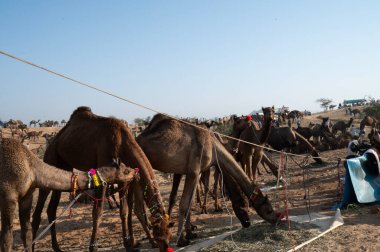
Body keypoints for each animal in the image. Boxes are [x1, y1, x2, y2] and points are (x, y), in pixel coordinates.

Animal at [0, 138, 137, 252]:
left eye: (127, 167)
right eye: (126, 170)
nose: (135, 171)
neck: (31, 168)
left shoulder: (27, 196)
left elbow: (26, 234)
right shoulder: (8, 197)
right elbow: (7, 239)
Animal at [31, 106, 170, 252]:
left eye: (169, 235)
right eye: (158, 236)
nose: (165, 248)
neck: (122, 142)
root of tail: (52, 142)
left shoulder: (123, 179)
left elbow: (124, 211)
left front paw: (128, 245)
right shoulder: (102, 178)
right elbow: (97, 213)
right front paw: (93, 247)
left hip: (64, 169)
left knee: (51, 209)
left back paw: (57, 247)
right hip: (50, 159)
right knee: (37, 213)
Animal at [137, 113, 280, 246]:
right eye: (268, 209)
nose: (276, 219)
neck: (214, 148)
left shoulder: (198, 172)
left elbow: (189, 203)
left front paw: (190, 233)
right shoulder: (194, 171)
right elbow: (184, 204)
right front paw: (181, 240)